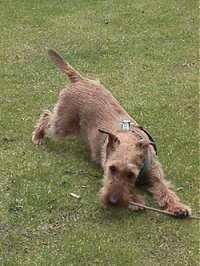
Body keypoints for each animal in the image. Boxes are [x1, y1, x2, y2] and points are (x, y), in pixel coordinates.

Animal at [32, 48, 191, 217]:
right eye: (112, 169)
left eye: (131, 174)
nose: (112, 201)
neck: (128, 138)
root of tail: (79, 80)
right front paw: (136, 201)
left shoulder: (156, 174)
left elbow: (165, 190)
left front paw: (177, 206)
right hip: (63, 124)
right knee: (46, 115)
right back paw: (38, 136)